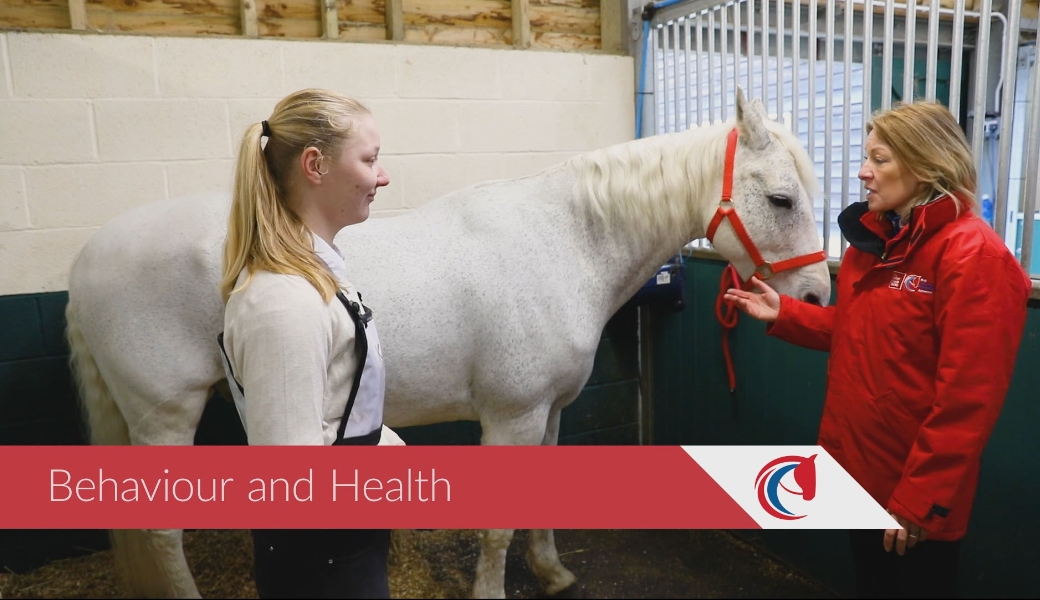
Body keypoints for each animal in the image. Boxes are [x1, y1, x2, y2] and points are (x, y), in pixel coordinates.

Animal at [64, 89, 831, 599]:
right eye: (782, 199)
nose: (819, 297)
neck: (567, 240)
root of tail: (88, 259)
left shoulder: (548, 413)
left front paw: (552, 572)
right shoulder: (510, 416)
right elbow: (494, 526)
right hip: (165, 414)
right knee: (162, 531)